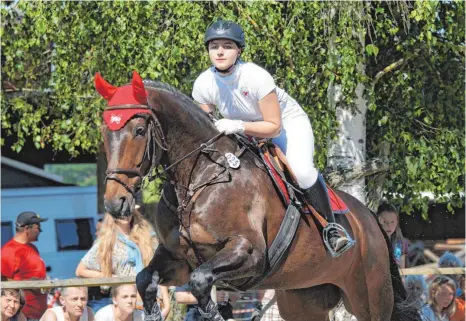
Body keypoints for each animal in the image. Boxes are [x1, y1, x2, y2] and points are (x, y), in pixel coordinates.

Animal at [96, 72, 420, 320]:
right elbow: (144, 279)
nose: (115, 203)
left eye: (139, 129)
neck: (198, 177)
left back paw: (337, 237)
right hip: (303, 297)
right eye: (104, 131)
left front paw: (215, 313)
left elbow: (201, 282)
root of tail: (370, 219)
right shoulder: (178, 259)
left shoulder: (248, 252)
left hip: (369, 294)